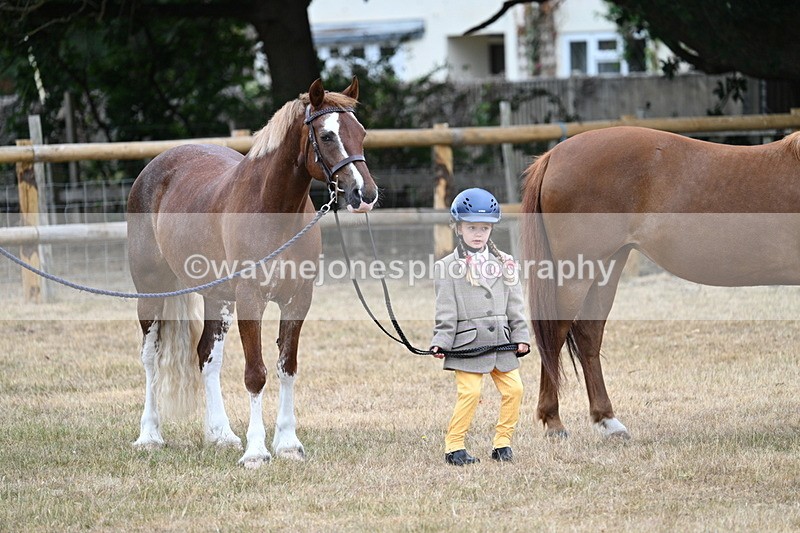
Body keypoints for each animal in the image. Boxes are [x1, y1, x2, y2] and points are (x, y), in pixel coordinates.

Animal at [126, 77, 377, 467]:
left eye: (361, 133)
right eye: (326, 136)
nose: (364, 194)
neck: (272, 209)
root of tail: (156, 167)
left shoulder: (297, 300)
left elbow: (287, 367)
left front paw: (288, 444)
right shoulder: (250, 301)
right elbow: (256, 375)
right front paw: (256, 451)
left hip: (216, 298)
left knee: (207, 357)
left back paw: (221, 435)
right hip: (151, 291)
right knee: (151, 357)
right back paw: (149, 436)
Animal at [521, 126, 800, 439]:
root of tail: (553, 155)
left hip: (608, 265)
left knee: (588, 334)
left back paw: (608, 421)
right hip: (577, 272)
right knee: (555, 334)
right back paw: (554, 422)